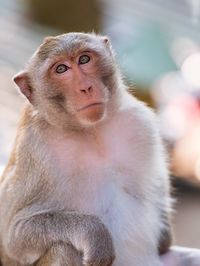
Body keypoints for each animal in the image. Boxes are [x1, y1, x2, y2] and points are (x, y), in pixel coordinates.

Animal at [0, 32, 173, 264]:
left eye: (84, 59)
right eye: (61, 69)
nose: (86, 88)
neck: (91, 132)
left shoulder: (140, 122)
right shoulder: (36, 151)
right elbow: (15, 237)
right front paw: (95, 235)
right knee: (63, 248)